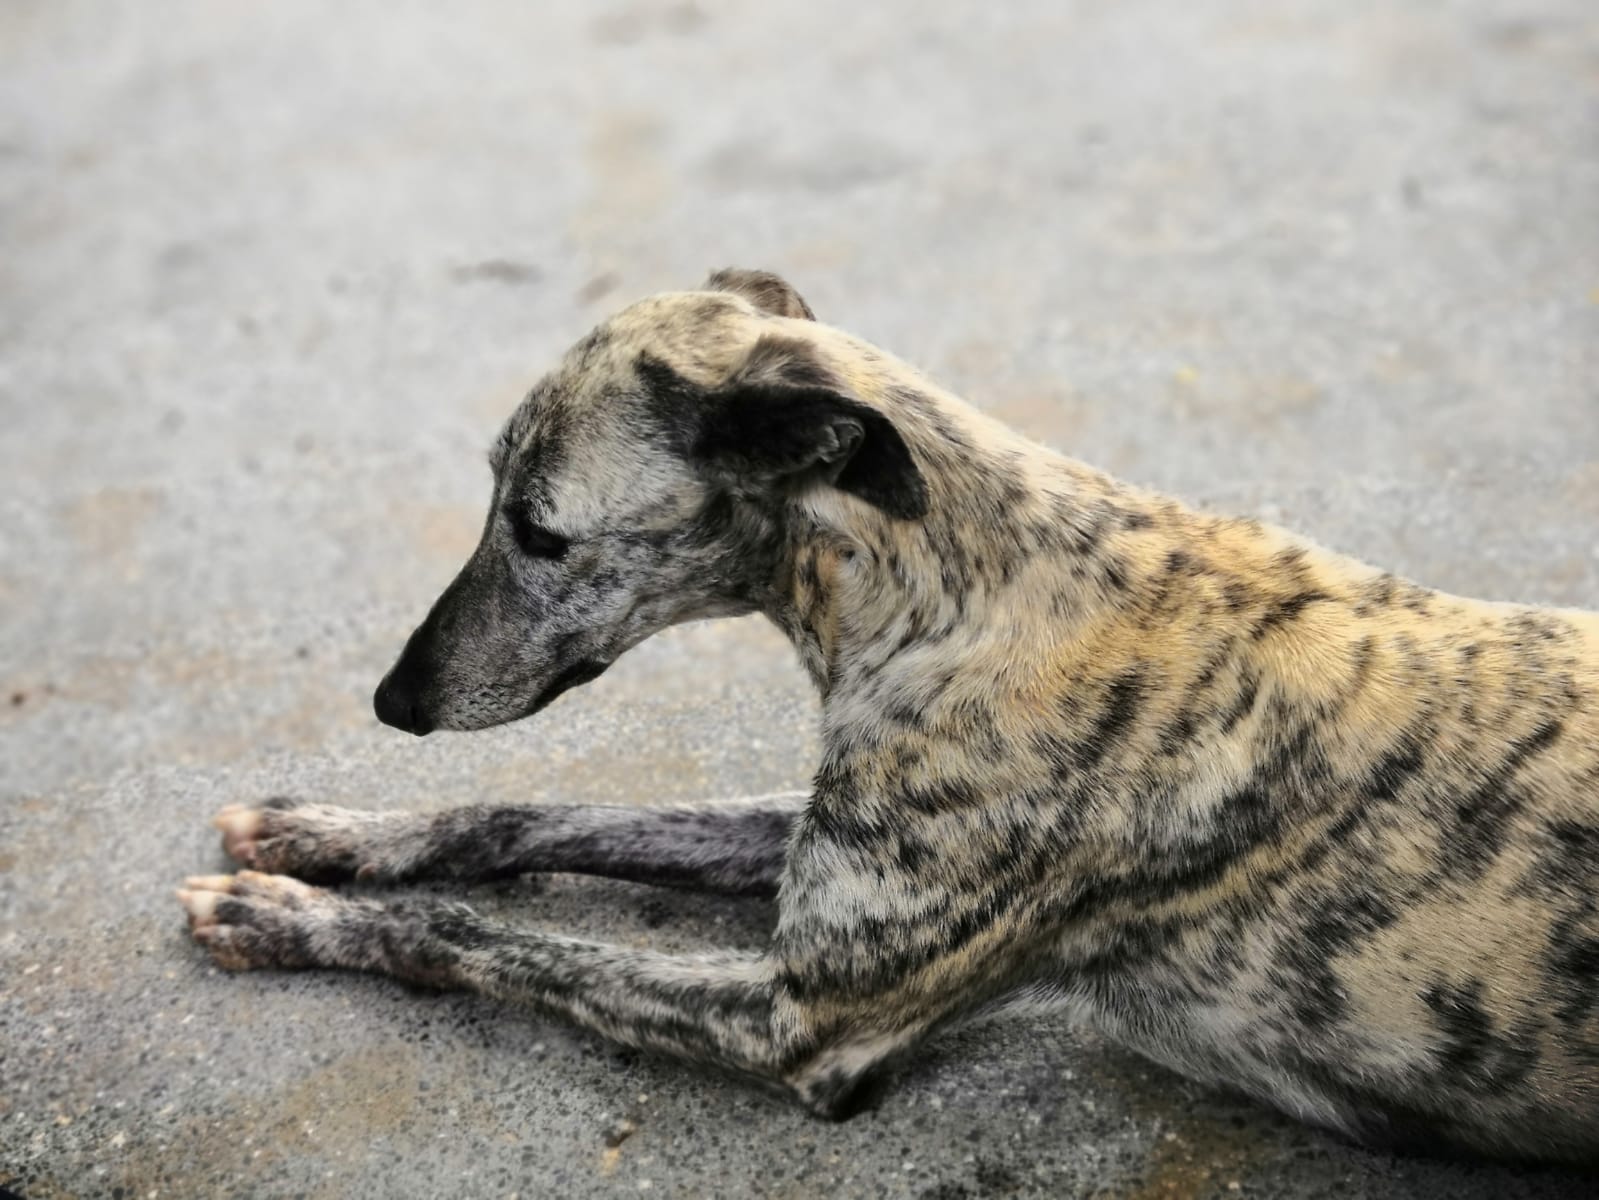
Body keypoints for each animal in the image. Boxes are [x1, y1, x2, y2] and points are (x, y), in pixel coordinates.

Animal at [178, 269, 1599, 1164]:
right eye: (492, 497)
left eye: (540, 529)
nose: (393, 699)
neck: (983, 586)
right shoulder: (828, 845)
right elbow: (533, 810)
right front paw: (331, 836)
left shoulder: (806, 1017)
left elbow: (482, 937)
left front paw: (289, 917)